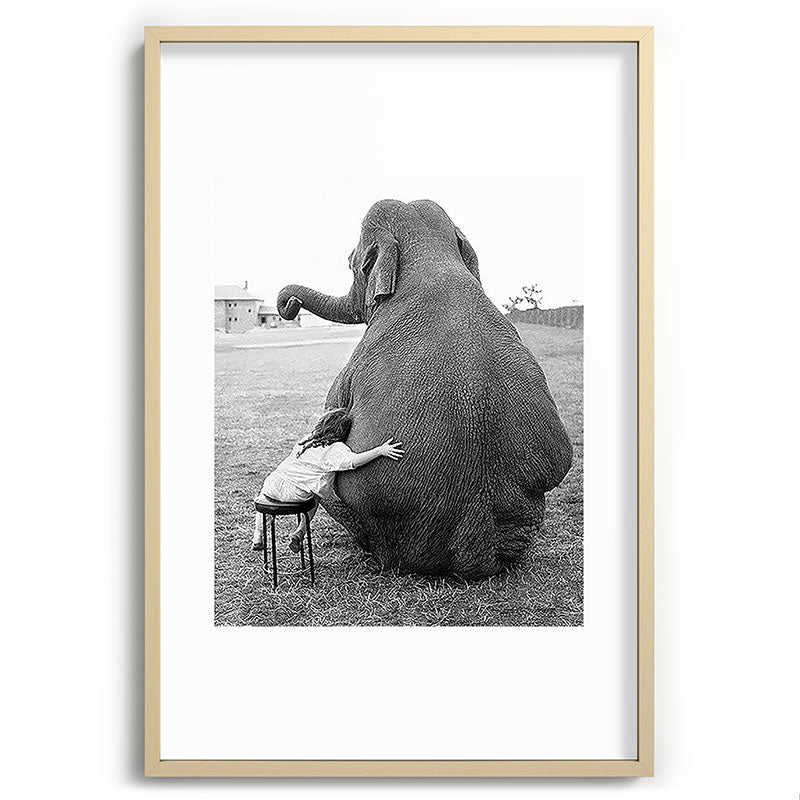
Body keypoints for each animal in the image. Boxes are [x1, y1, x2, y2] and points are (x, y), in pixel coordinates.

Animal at [277, 199, 572, 578]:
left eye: (351, 261)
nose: (289, 305)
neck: (430, 257)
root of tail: (476, 552)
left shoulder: (353, 365)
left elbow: (332, 414)